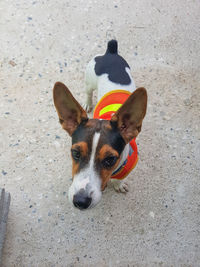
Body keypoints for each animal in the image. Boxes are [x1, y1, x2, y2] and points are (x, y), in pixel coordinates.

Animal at [53, 40, 147, 210]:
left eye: (110, 159)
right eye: (75, 153)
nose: (80, 201)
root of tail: (110, 52)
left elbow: (120, 179)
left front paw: (118, 184)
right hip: (89, 82)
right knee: (89, 93)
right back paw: (88, 103)